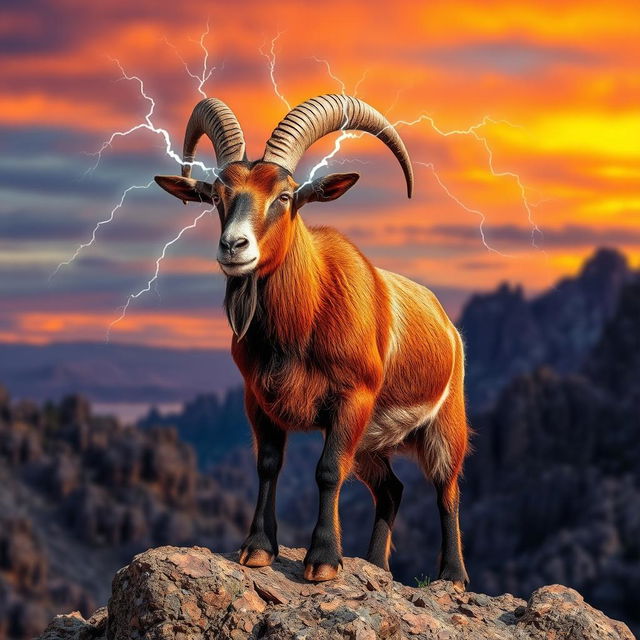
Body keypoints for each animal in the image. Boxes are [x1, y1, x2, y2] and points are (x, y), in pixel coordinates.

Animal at [156, 95, 470, 592]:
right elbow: (268, 463)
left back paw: (452, 577)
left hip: (443, 424)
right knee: (391, 488)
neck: (304, 320)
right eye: (218, 196)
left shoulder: (351, 400)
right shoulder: (258, 400)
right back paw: (376, 566)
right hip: (372, 443)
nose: (234, 247)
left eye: (285, 196)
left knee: (447, 488)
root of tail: (448, 326)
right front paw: (257, 549)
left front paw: (323, 561)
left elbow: (327, 470)